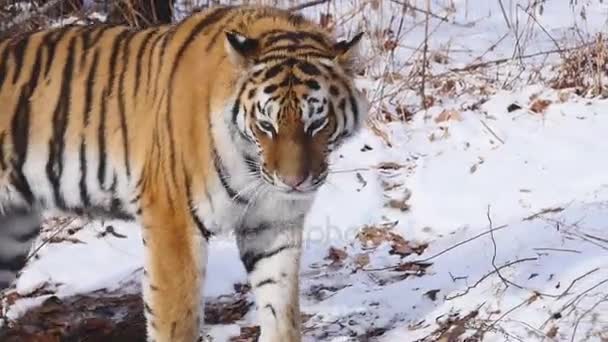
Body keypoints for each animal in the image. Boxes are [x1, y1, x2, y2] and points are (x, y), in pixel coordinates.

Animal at [0, 3, 366, 342]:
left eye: (316, 123)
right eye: (266, 125)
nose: (293, 183)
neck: (251, 167)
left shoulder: (273, 223)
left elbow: (281, 308)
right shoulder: (173, 220)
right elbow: (176, 317)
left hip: (13, 232)